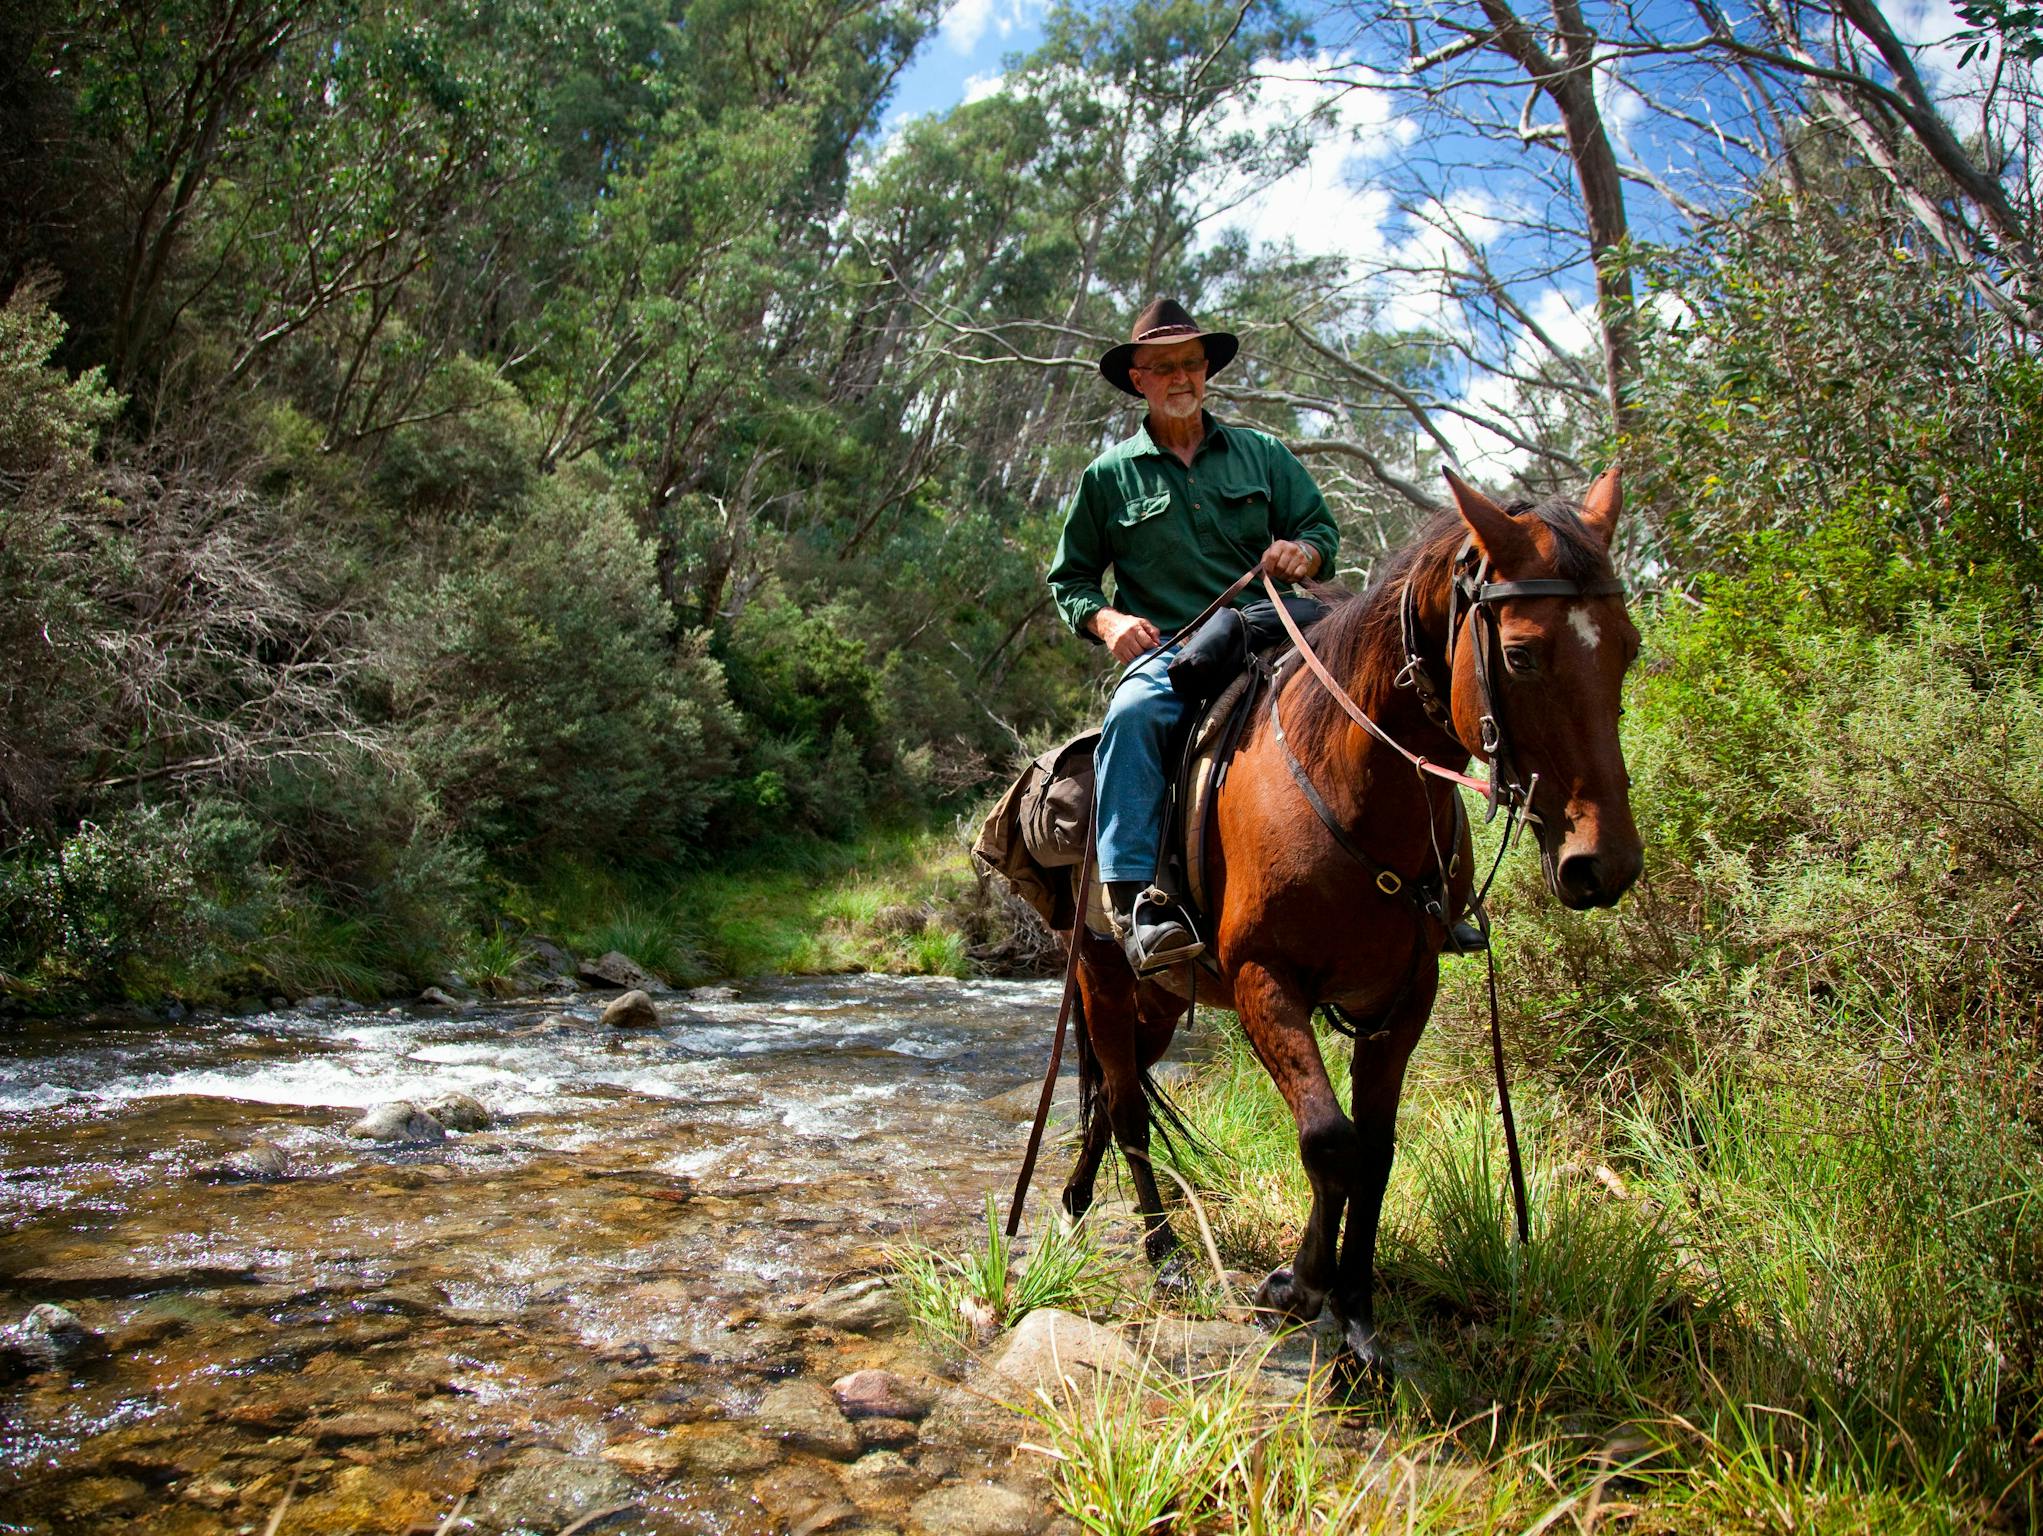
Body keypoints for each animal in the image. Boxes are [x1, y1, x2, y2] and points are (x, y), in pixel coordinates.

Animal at [1054, 465, 1642, 1364]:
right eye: (1519, 654)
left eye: (1627, 649)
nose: (1601, 865)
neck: (1347, 781)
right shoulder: (1264, 980)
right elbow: (1328, 1141)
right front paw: (1296, 1286)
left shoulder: (1404, 994)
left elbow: (1376, 1149)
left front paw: (1359, 1322)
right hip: (1104, 979)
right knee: (1123, 1111)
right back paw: (1163, 1254)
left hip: (1155, 1004)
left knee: (1109, 1106)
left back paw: (1079, 1203)